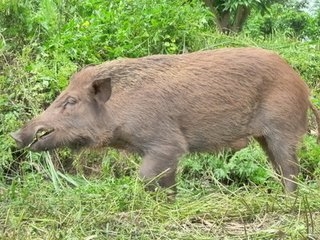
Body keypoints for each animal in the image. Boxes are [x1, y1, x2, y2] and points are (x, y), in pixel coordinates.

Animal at [10, 47, 320, 193]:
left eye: (71, 101)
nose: (15, 135)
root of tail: (301, 84)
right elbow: (168, 182)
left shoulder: (167, 143)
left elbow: (146, 177)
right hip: (265, 137)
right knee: (279, 168)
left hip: (284, 128)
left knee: (290, 169)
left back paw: (289, 201)